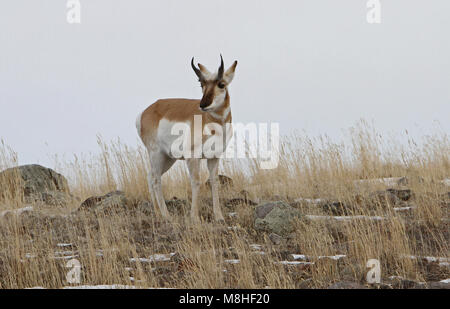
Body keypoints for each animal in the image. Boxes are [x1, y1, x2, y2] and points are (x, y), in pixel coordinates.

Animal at [135, 54, 237, 220]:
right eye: (202, 84)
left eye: (221, 84)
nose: (203, 105)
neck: (211, 121)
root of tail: (146, 111)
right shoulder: (193, 157)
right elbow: (196, 181)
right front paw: (194, 217)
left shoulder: (214, 157)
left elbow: (214, 182)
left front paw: (219, 216)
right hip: (157, 155)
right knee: (156, 179)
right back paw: (166, 215)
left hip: (168, 158)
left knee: (150, 176)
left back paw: (157, 213)